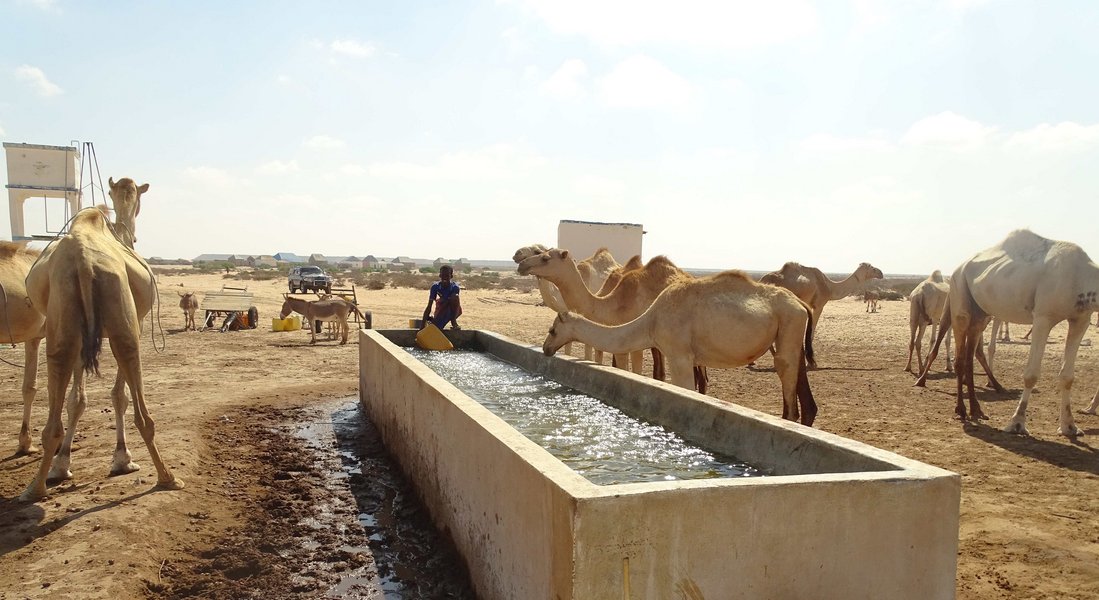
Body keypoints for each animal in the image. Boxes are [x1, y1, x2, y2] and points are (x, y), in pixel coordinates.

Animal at [540, 268, 817, 421]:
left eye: (552, 330)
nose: (545, 348)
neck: (651, 321)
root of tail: (802, 305)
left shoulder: (679, 355)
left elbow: (686, 389)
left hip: (790, 324)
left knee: (785, 369)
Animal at [914, 228, 1099, 435]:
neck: (1082, 276)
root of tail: (956, 269)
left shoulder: (1081, 319)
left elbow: (1067, 377)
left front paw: (1069, 427)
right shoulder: (1043, 317)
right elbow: (1031, 374)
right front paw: (1017, 423)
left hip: (980, 313)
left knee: (970, 355)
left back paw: (976, 410)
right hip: (959, 295)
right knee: (960, 357)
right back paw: (961, 410)